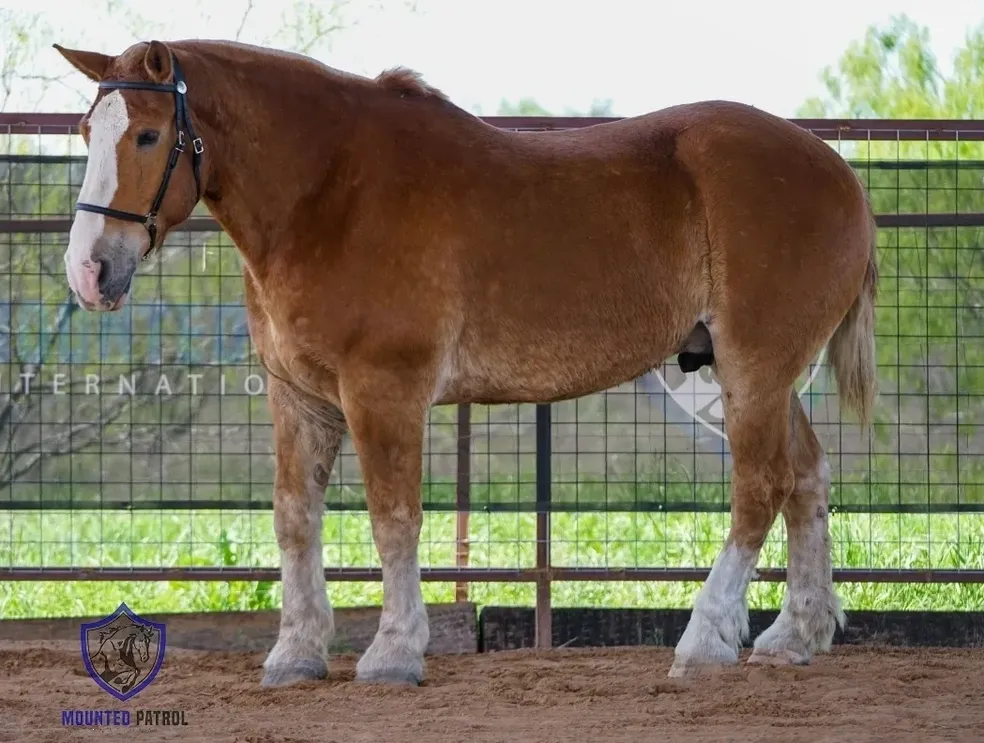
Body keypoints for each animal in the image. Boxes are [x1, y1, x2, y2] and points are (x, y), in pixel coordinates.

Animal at [54, 38, 877, 686]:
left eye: (149, 136)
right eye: (89, 129)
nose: (89, 271)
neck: (329, 193)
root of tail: (837, 171)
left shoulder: (384, 390)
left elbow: (393, 519)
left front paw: (393, 652)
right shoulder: (298, 397)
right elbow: (295, 518)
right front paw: (296, 653)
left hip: (752, 369)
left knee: (760, 487)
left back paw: (705, 640)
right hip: (751, 378)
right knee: (806, 477)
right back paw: (793, 636)